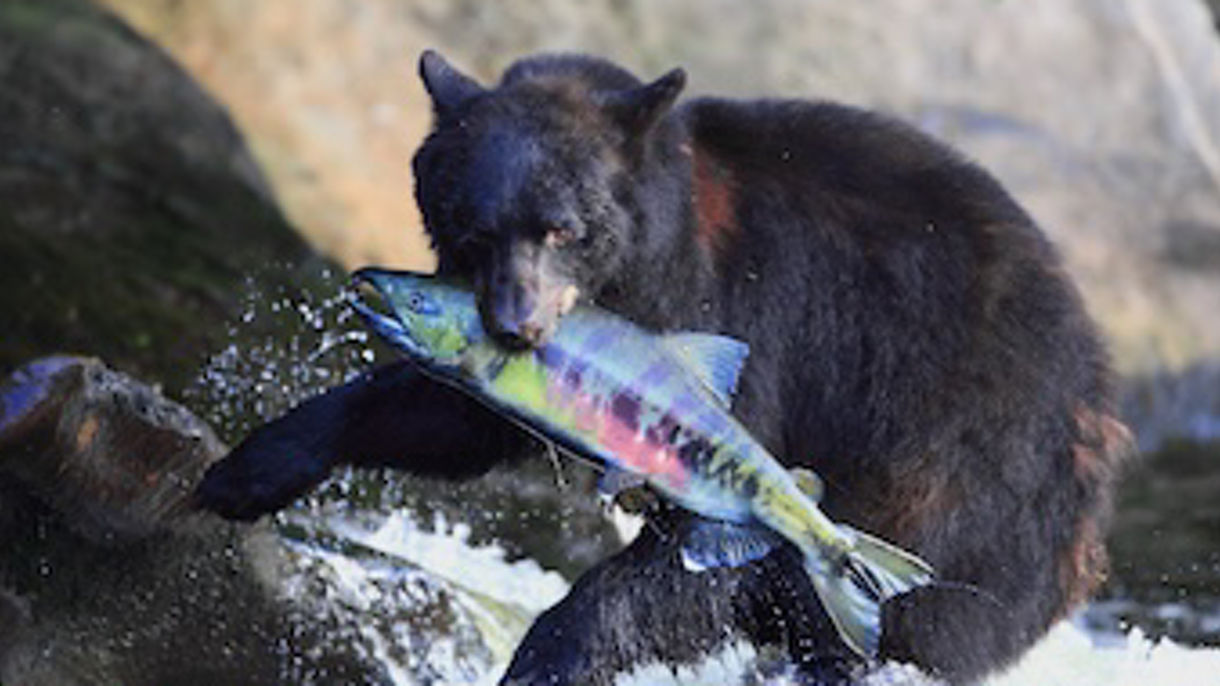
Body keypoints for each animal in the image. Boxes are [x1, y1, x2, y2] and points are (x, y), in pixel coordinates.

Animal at [196, 51, 1132, 684]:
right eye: (472, 223)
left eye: (564, 227)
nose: (517, 323)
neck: (645, 258)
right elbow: (454, 418)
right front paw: (252, 467)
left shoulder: (739, 316)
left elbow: (702, 546)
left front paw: (548, 656)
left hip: (957, 471)